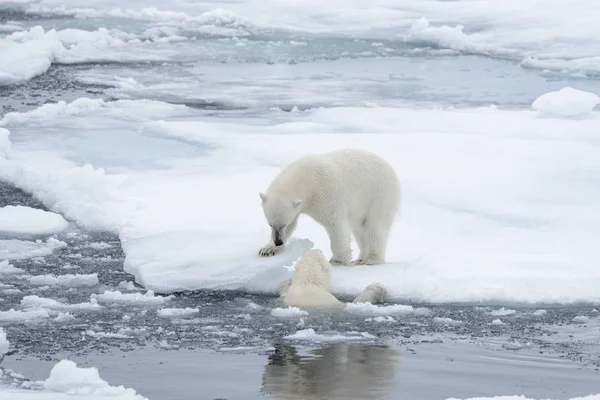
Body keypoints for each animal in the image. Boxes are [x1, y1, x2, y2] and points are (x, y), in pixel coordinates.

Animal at [256, 148, 398, 266]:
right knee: (359, 230)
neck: (307, 177)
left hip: (379, 195)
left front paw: (337, 261)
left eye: (284, 224)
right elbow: (294, 223)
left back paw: (372, 259)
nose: (278, 241)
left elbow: (335, 224)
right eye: (270, 224)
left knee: (375, 226)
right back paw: (360, 259)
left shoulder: (326, 193)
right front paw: (267, 249)